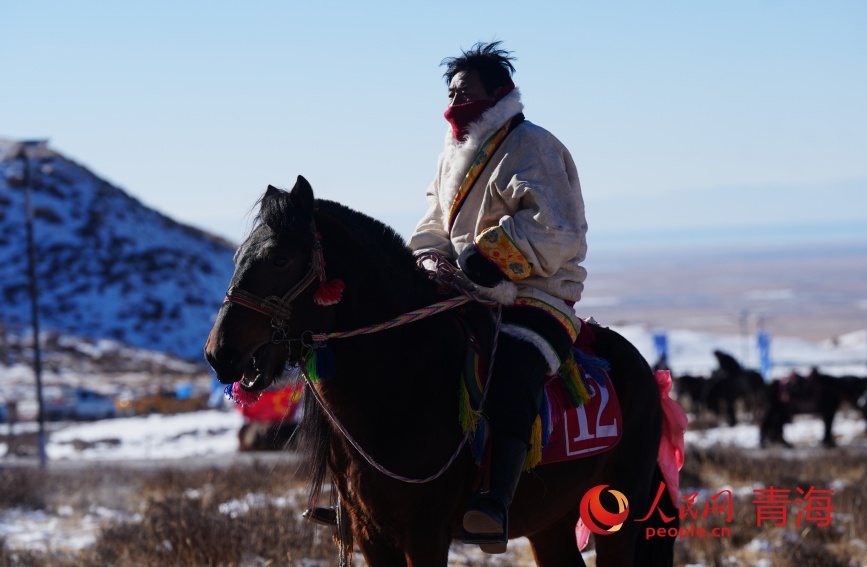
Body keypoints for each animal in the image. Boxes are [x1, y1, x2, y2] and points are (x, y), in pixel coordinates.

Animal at [205, 179, 680, 567]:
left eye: (279, 259)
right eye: (238, 255)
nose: (219, 352)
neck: (401, 384)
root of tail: (646, 374)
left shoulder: (425, 534)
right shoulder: (371, 534)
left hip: (620, 515)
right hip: (550, 523)